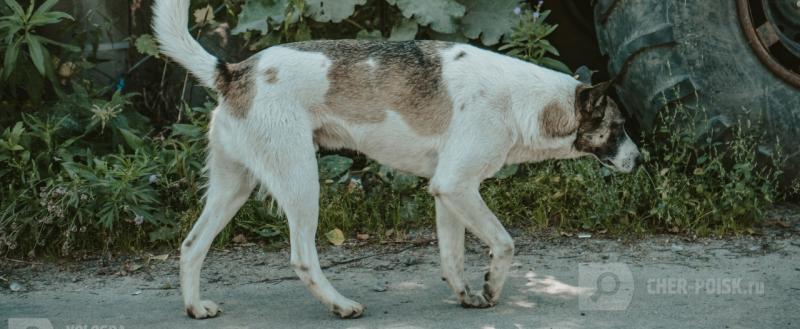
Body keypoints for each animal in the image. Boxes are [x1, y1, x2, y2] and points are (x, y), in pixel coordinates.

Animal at [153, 0, 640, 320]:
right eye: (618, 128)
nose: (640, 159)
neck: (524, 101)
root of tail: (236, 72)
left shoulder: (450, 192)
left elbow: (452, 257)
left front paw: (466, 295)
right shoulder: (457, 187)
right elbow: (504, 243)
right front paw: (492, 285)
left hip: (234, 187)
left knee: (191, 245)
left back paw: (195, 307)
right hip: (301, 181)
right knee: (302, 257)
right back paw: (340, 305)